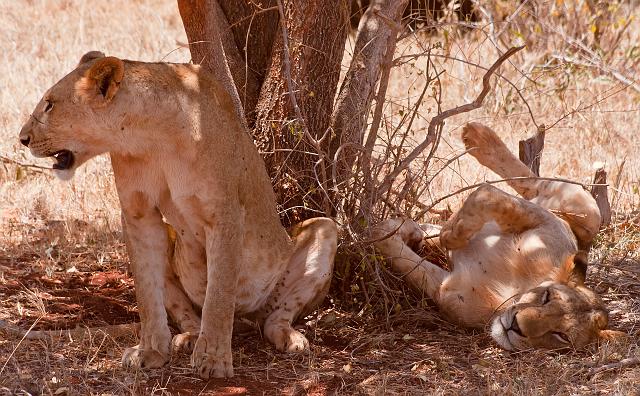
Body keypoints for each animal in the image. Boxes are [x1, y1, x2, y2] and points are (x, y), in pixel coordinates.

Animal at [18, 51, 340, 378]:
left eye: (50, 104)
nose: (23, 138)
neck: (149, 136)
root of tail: (246, 319)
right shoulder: (138, 214)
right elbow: (147, 292)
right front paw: (150, 351)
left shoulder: (225, 213)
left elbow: (219, 293)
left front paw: (213, 360)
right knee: (189, 315)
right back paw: (188, 339)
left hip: (323, 230)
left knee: (275, 316)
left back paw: (290, 338)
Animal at [372, 123, 624, 350]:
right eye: (547, 296)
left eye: (560, 335)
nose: (516, 326)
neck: (514, 292)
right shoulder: (550, 225)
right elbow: (488, 195)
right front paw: (449, 234)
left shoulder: (447, 294)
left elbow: (397, 250)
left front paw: (389, 230)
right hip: (586, 212)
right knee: (534, 183)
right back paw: (478, 137)